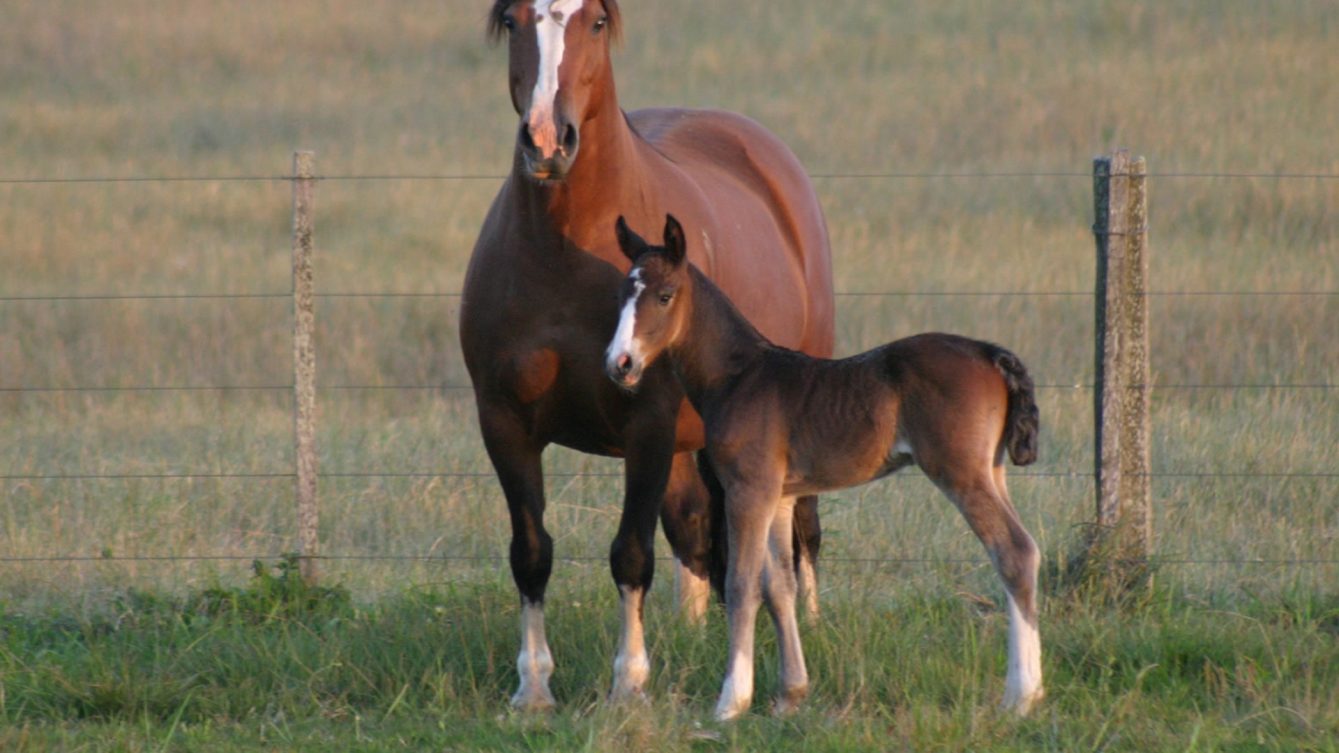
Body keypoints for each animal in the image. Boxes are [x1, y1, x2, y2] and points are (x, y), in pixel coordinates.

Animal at [465, 0, 830, 707]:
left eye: (596, 22)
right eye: (513, 20)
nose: (547, 143)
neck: (566, 250)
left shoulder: (648, 425)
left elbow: (630, 554)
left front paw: (628, 684)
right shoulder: (504, 422)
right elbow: (531, 551)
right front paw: (534, 689)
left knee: (800, 530)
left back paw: (812, 623)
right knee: (695, 527)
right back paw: (694, 630)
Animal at [607, 215, 1044, 712]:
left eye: (664, 295)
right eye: (621, 296)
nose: (620, 364)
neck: (737, 376)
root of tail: (990, 354)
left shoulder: (748, 490)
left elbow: (742, 583)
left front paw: (732, 700)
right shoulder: (780, 498)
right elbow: (780, 586)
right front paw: (790, 694)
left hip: (960, 472)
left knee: (1015, 552)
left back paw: (1021, 695)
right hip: (992, 471)